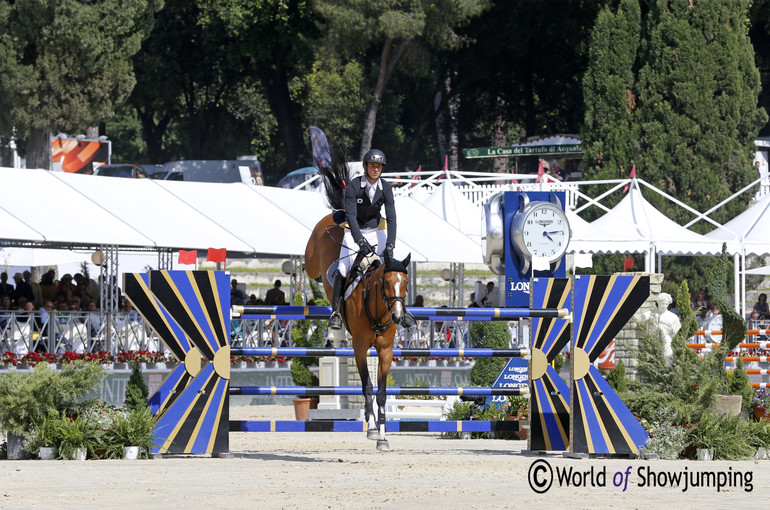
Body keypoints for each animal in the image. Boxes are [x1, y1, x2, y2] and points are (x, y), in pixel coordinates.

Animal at [302, 144, 412, 450]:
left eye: (404, 283)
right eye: (385, 283)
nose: (398, 316)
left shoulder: (385, 350)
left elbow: (382, 391)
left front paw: (383, 438)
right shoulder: (361, 347)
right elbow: (366, 386)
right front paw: (372, 429)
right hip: (315, 254)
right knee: (317, 268)